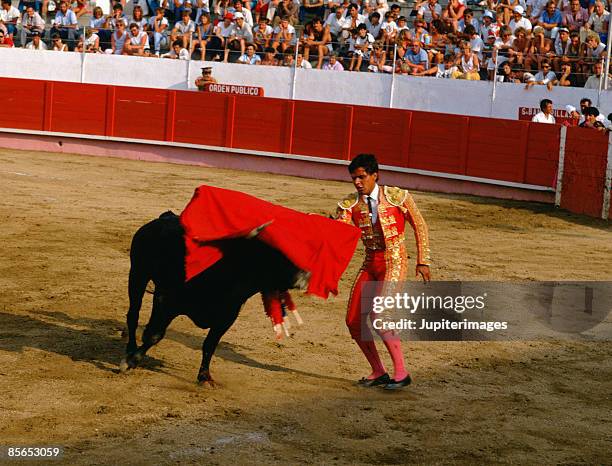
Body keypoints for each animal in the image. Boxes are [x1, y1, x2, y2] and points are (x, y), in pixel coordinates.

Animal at [120, 212, 306, 386]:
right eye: (273, 254)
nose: (304, 277)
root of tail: (165, 217)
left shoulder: (226, 317)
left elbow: (210, 344)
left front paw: (204, 377)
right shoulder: (165, 301)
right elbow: (154, 334)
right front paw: (130, 362)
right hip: (138, 274)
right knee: (133, 315)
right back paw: (130, 348)